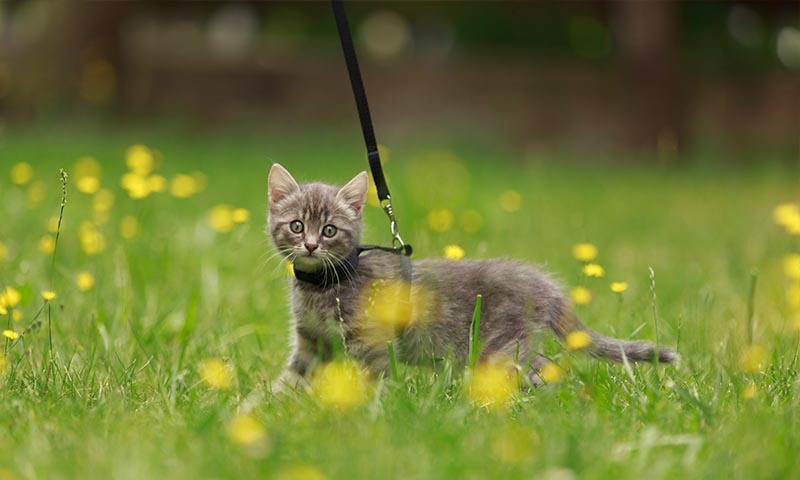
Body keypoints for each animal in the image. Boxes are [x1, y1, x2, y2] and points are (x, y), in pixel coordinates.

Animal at [268, 163, 676, 392]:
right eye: (297, 225)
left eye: (330, 231)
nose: (310, 246)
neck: (322, 284)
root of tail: (541, 283)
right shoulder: (311, 342)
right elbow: (291, 378)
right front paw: (269, 407)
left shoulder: (370, 343)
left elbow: (370, 379)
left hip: (499, 347)